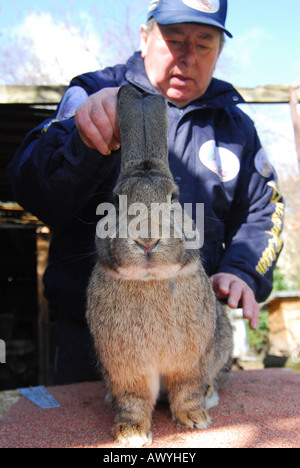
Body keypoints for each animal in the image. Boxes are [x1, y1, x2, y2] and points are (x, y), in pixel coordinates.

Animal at [85, 83, 233, 446]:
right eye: (116, 199)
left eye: (174, 198)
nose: (147, 240)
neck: (149, 280)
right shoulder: (126, 369)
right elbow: (134, 399)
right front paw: (131, 433)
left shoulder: (191, 362)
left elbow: (187, 390)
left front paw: (195, 420)